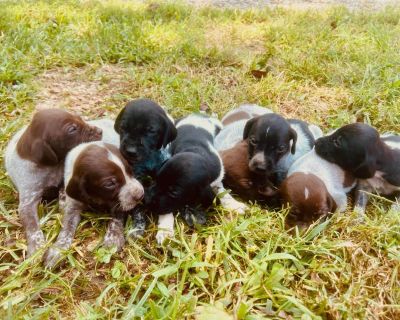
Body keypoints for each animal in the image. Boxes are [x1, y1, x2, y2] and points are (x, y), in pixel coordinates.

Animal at [4, 110, 101, 258]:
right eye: (72, 129)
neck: (49, 168)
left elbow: (64, 194)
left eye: (79, 118)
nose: (100, 131)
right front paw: (37, 247)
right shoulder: (27, 203)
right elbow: (32, 226)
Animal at [44, 120, 144, 268]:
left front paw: (113, 238)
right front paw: (58, 249)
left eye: (130, 171)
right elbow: (67, 227)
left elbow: (116, 219)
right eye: (110, 183)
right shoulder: (73, 204)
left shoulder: (119, 203)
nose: (141, 195)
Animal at [143, 114, 247, 244]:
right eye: (157, 179)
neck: (197, 151)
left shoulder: (217, 178)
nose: (146, 200)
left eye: (174, 192)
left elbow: (223, 192)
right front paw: (165, 230)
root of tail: (199, 115)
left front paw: (234, 204)